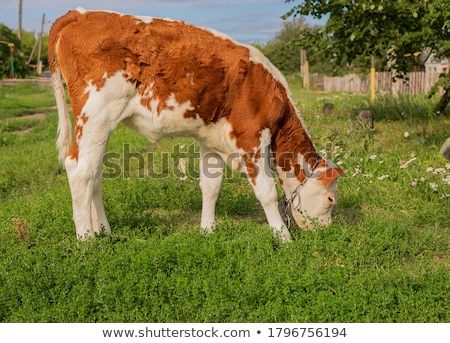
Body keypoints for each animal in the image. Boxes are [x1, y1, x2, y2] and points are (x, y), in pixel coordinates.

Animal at [48, 9, 344, 243]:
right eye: (331, 200)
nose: (326, 231)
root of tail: (80, 13)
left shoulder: (210, 139)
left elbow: (210, 187)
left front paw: (207, 231)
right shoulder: (251, 137)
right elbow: (267, 192)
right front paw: (283, 237)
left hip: (102, 126)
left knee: (95, 173)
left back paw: (103, 230)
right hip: (96, 115)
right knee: (80, 170)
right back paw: (86, 239)